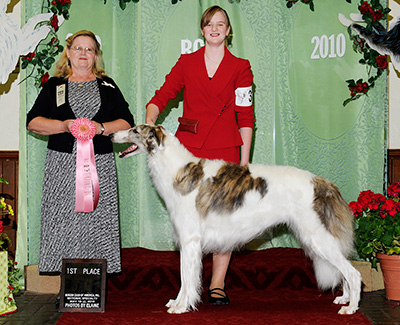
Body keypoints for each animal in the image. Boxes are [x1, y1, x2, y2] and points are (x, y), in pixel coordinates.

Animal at [111, 123, 360, 314]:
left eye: (134, 130)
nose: (111, 135)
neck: (180, 172)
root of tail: (323, 183)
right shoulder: (185, 242)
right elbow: (184, 279)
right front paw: (176, 302)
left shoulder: (190, 241)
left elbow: (187, 279)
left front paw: (181, 307)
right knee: (345, 271)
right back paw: (345, 298)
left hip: (317, 237)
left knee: (353, 272)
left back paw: (351, 307)